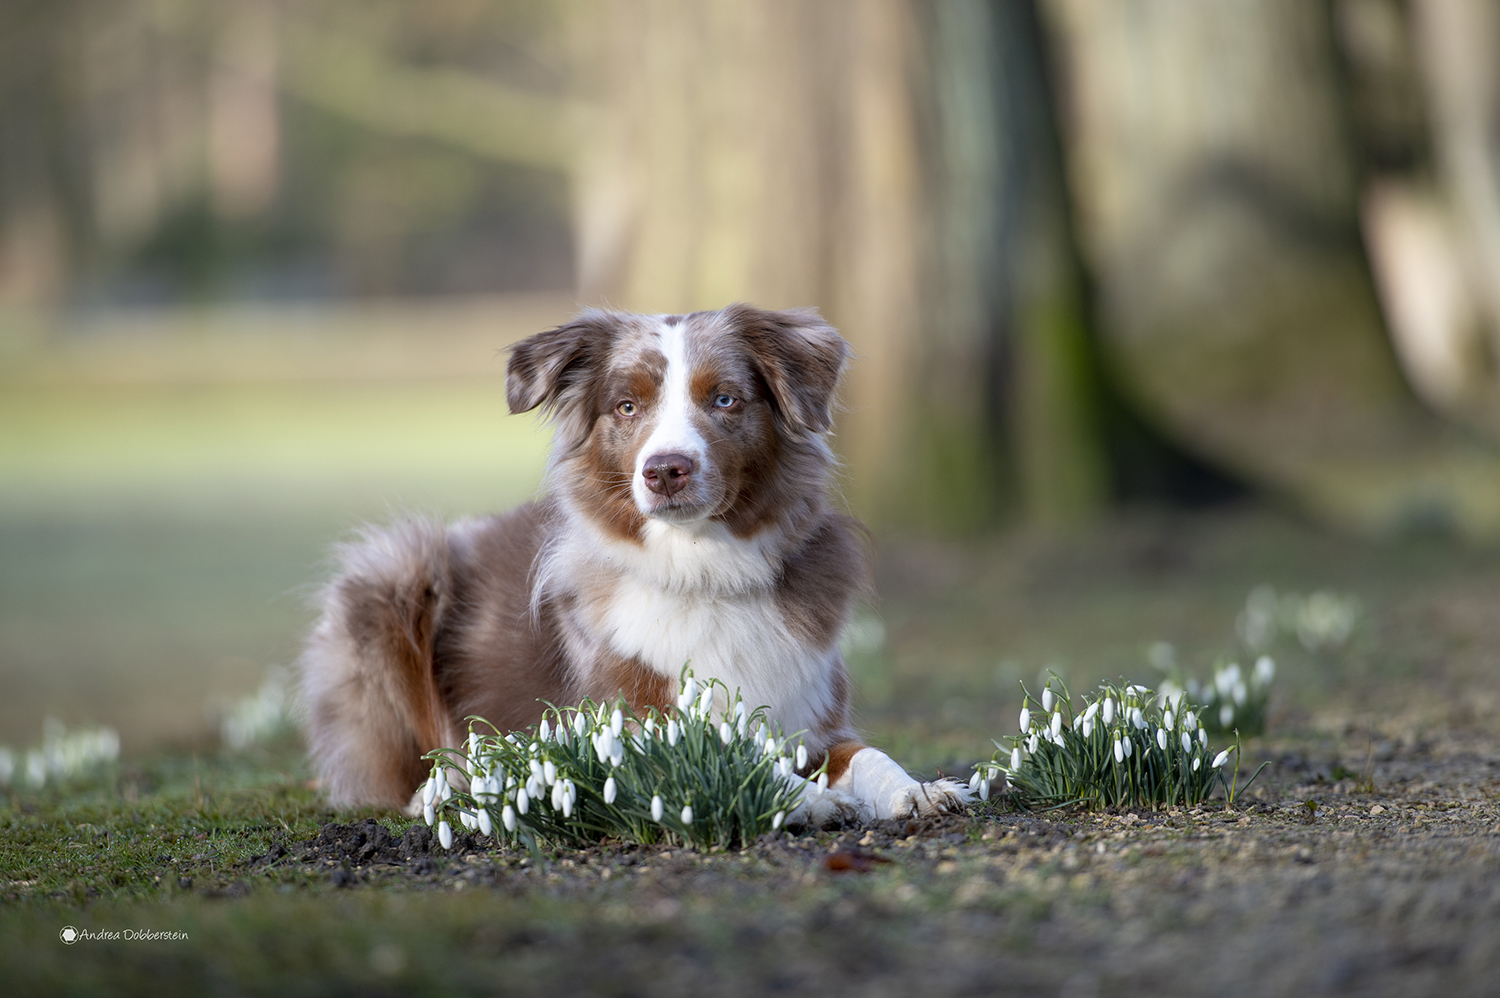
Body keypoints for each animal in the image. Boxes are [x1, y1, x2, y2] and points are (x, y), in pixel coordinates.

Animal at [298, 301, 966, 822]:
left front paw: (918, 790)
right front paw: (808, 799)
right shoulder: (629, 726)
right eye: (626, 407)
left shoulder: (816, 722)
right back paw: (446, 789)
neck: (703, 569)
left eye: (724, 399)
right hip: (397, 573)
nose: (665, 469)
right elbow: (733, 757)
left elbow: (869, 756)